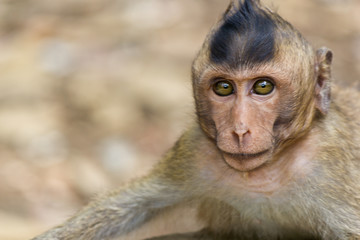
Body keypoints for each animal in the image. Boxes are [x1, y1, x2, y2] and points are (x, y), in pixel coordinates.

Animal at [32, 0, 358, 239]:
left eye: (263, 87)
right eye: (223, 88)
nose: (240, 130)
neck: (263, 173)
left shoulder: (329, 169)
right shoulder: (194, 152)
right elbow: (132, 207)